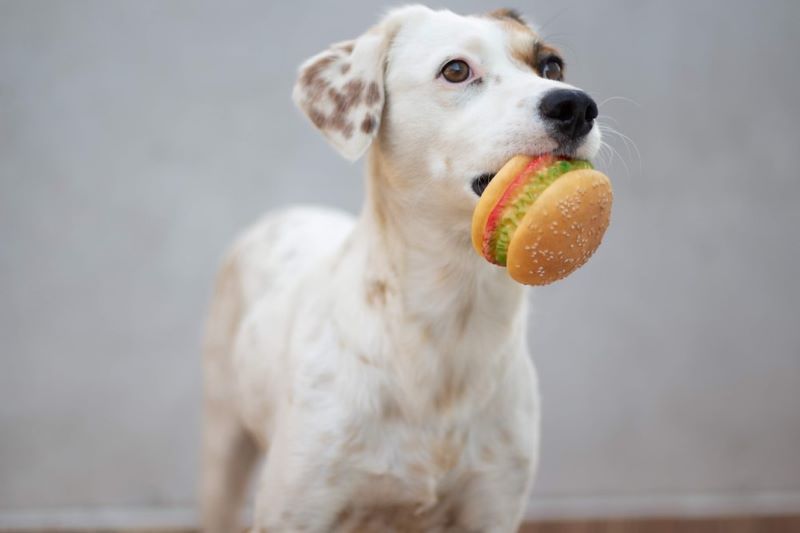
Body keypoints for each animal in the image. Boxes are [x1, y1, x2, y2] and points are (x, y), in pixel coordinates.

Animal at [200, 5, 600, 532]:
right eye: (456, 69)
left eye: (551, 65)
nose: (576, 106)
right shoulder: (297, 508)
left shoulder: (493, 504)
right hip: (224, 441)